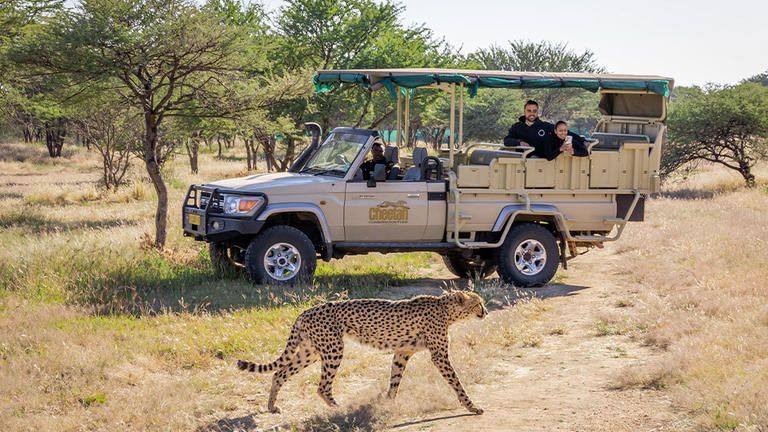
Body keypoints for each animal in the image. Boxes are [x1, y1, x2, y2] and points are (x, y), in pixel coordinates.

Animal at [237, 290, 487, 415]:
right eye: (479, 303)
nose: (485, 312)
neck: (447, 310)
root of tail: (305, 311)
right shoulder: (439, 356)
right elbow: (456, 382)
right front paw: (472, 406)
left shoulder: (402, 353)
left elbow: (394, 381)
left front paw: (387, 405)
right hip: (333, 349)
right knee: (322, 386)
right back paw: (339, 408)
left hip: (310, 351)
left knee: (279, 373)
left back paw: (271, 407)